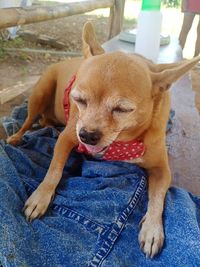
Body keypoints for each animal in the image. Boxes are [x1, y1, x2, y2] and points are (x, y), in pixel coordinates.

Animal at [7, 23, 199, 260]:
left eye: (122, 109)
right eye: (78, 99)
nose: (87, 135)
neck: (121, 141)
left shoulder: (162, 169)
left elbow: (158, 197)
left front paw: (153, 229)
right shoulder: (66, 139)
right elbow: (53, 172)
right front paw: (40, 197)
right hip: (40, 94)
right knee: (27, 121)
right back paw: (16, 136)